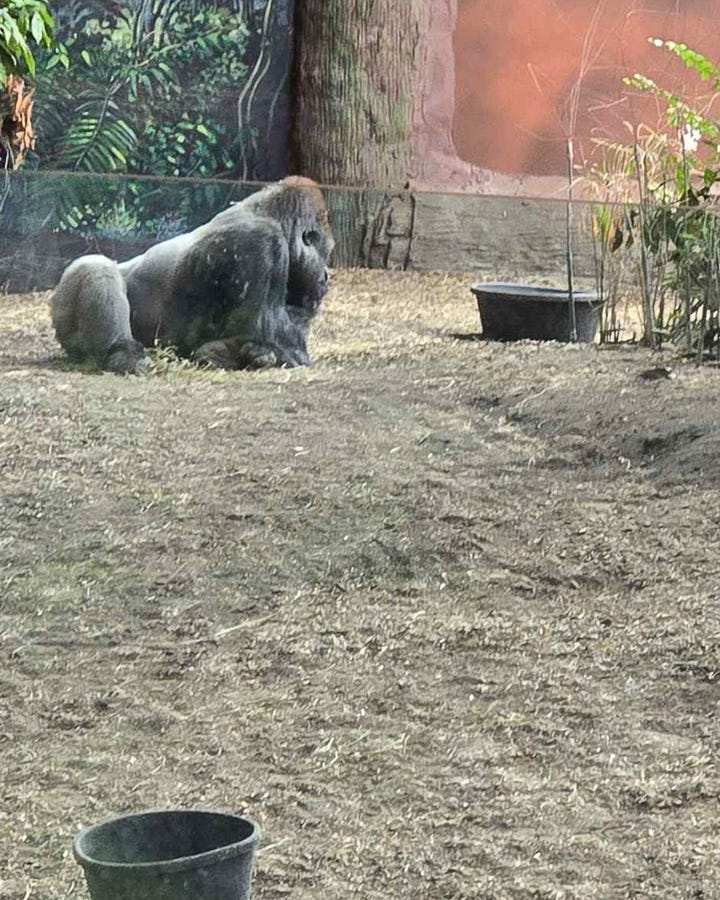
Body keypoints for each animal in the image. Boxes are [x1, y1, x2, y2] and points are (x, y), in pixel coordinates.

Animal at [50, 176, 334, 373]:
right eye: (328, 251)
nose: (326, 276)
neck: (271, 215)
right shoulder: (263, 242)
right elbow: (270, 330)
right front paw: (245, 353)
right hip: (63, 310)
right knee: (96, 267)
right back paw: (122, 354)